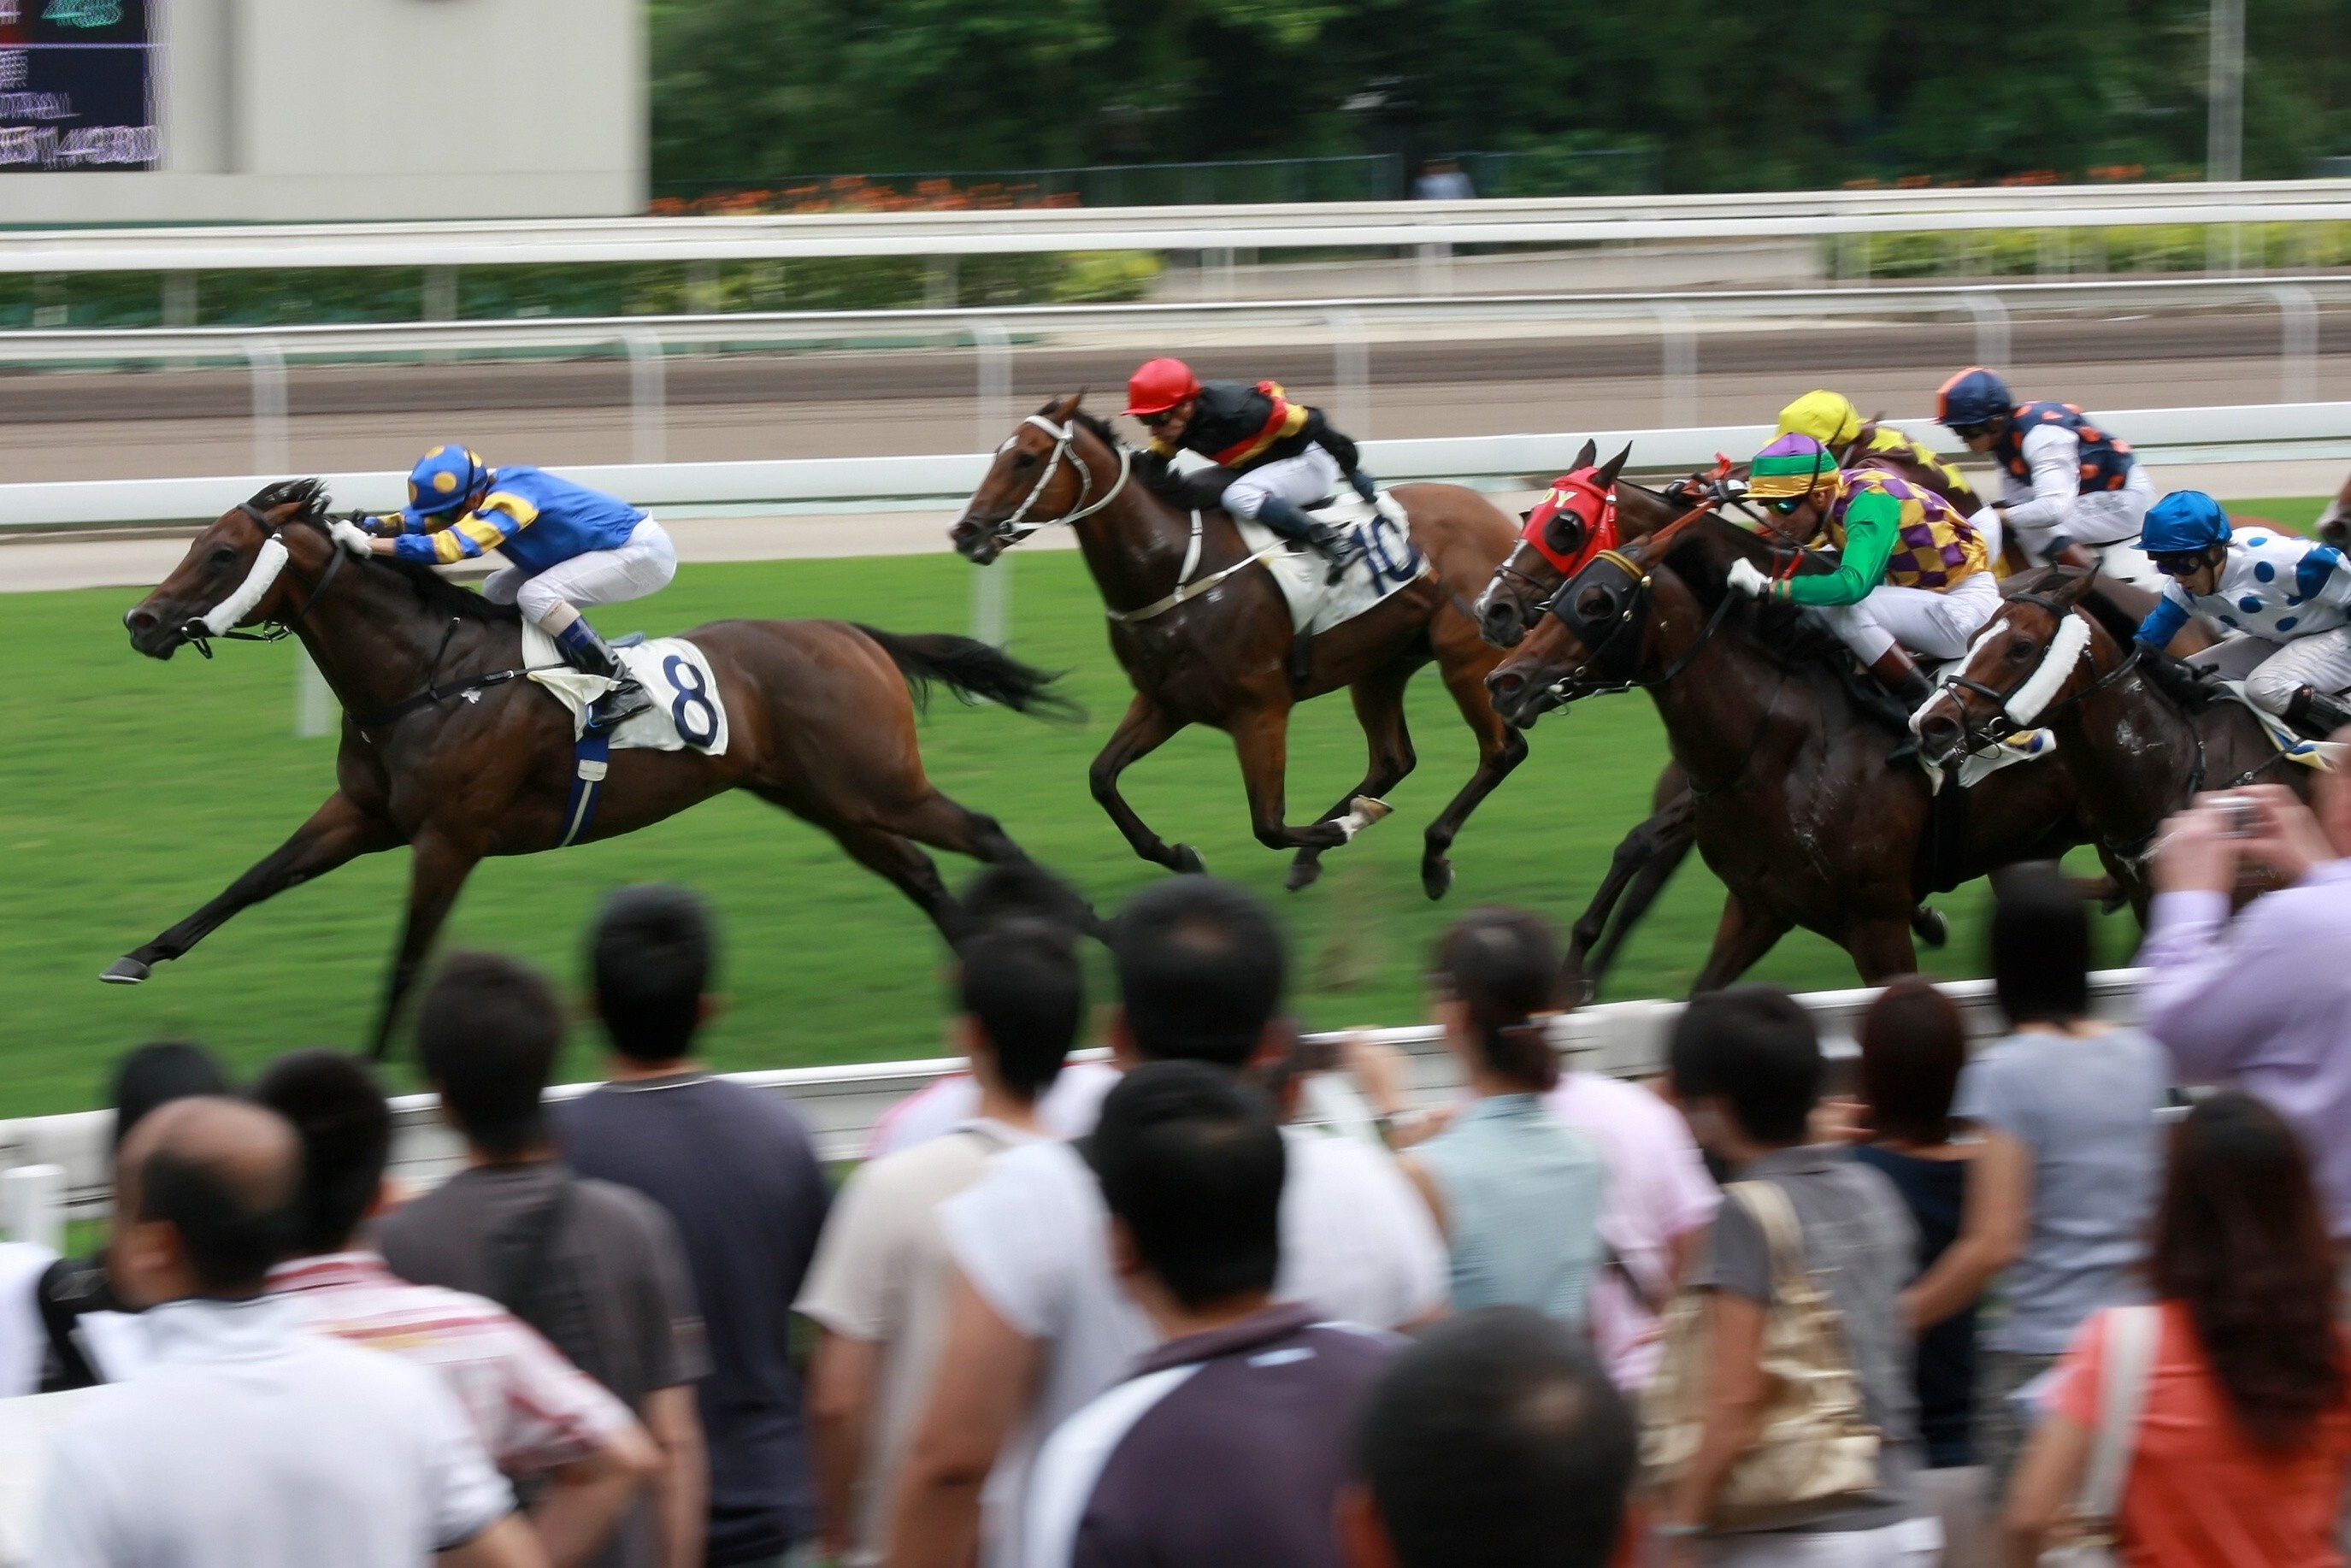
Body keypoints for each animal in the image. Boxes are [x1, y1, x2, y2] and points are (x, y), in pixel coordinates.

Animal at [115, 484, 1076, 1062]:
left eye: (222, 555)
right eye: (197, 542)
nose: (140, 621)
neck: (430, 675)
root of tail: (851, 633)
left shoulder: (447, 838)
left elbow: (408, 955)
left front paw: (373, 1060)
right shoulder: (362, 815)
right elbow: (253, 880)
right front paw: (137, 956)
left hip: (877, 785)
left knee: (985, 835)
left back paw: (1083, 929)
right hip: (831, 802)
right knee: (920, 872)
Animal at [950, 399, 1523, 902]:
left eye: (1025, 459)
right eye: (998, 452)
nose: (966, 532)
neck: (1177, 572)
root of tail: (1502, 520)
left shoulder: (1260, 711)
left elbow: (1269, 825)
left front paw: (1351, 823)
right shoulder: (1163, 702)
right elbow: (1101, 779)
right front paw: (1180, 856)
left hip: (1464, 659)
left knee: (1501, 752)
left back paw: (1431, 855)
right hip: (1381, 665)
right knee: (1393, 759)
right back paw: (1319, 855)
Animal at [1486, 512, 2078, 982]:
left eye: (1597, 602)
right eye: (1564, 591)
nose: (1504, 680)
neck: (1786, 744)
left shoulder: (1875, 923)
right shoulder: (1755, 900)